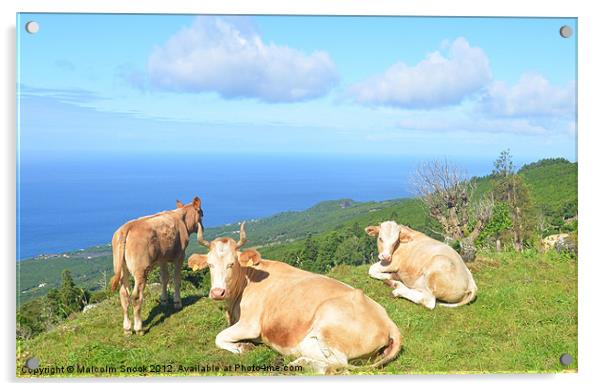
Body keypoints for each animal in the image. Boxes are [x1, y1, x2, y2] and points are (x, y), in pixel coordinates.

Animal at [108, 198, 202, 336]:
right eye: (202, 213)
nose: (203, 227)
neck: (181, 218)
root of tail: (127, 227)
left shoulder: (162, 258)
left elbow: (164, 278)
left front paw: (164, 301)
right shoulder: (180, 255)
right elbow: (176, 280)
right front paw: (177, 303)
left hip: (120, 267)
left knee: (124, 294)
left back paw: (127, 328)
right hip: (140, 270)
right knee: (136, 296)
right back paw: (139, 328)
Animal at [188, 224, 400, 374]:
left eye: (232, 263)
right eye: (210, 265)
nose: (217, 292)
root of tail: (388, 321)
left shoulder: (250, 324)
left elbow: (219, 337)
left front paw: (242, 347)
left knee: (338, 363)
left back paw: (297, 363)